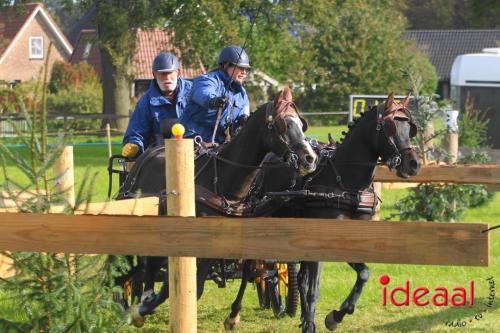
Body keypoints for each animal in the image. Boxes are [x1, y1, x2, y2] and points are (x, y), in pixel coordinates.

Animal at [117, 87, 318, 326]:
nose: (310, 158)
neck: (224, 178)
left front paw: (232, 315)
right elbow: (178, 284)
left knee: (150, 263)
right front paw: (147, 307)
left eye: (301, 124)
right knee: (142, 264)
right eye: (282, 124)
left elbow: (224, 278)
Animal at [225, 93, 420, 332]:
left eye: (410, 128)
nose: (414, 164)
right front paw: (312, 322)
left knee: (298, 275)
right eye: (390, 126)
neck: (346, 183)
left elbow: (363, 274)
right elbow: (314, 288)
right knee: (252, 267)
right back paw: (234, 313)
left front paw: (335, 316)